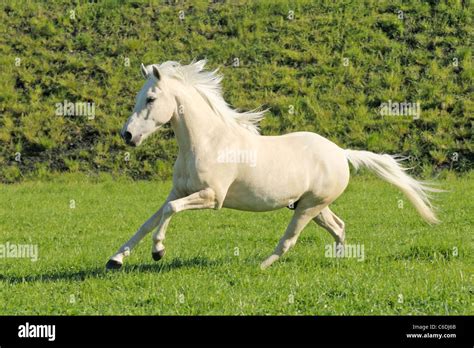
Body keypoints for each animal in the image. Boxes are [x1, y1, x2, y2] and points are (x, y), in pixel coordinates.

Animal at [105, 61, 438, 270]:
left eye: (150, 98)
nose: (127, 135)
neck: (207, 141)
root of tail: (341, 153)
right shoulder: (178, 191)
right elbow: (151, 219)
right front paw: (115, 260)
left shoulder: (212, 197)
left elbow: (168, 213)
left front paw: (158, 251)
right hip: (312, 205)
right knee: (338, 226)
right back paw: (339, 260)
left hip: (308, 208)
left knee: (289, 239)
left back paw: (261, 266)